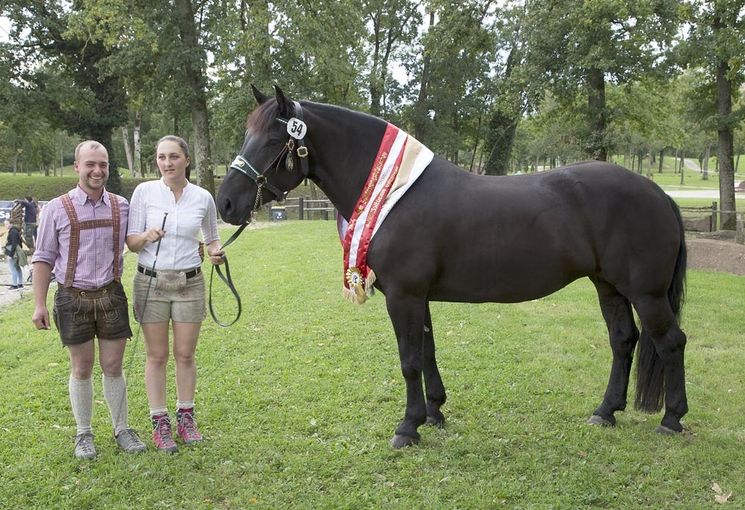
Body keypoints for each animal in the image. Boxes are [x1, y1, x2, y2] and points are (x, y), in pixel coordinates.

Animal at [218, 85, 688, 448]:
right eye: (246, 135)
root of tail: (659, 194)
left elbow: (409, 359)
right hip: (608, 286)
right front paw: (434, 413)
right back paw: (605, 412)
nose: (225, 203)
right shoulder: (417, 297)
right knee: (623, 341)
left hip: (645, 293)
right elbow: (427, 352)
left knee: (671, 342)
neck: (397, 194)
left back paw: (672, 419)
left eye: (270, 141)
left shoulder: (404, 296)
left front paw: (408, 428)